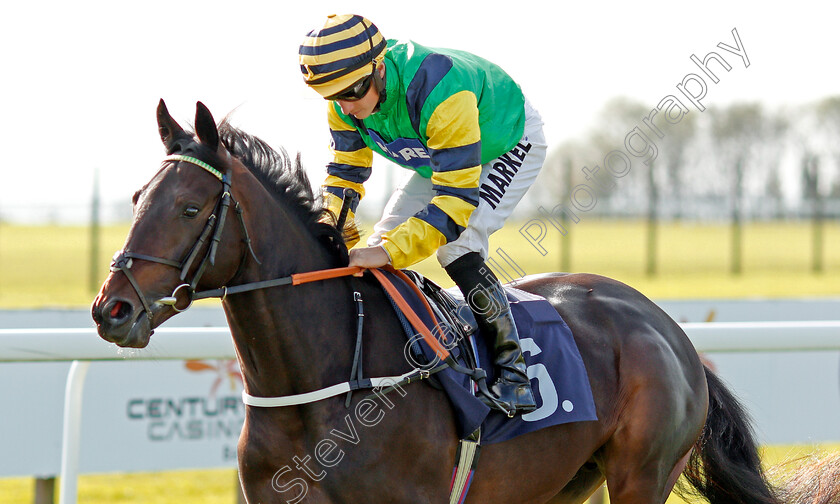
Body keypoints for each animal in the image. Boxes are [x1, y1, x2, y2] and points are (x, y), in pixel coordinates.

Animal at [90, 101, 780, 504]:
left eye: (189, 208)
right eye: (136, 198)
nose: (111, 309)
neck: (322, 378)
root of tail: (670, 330)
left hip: (641, 473)